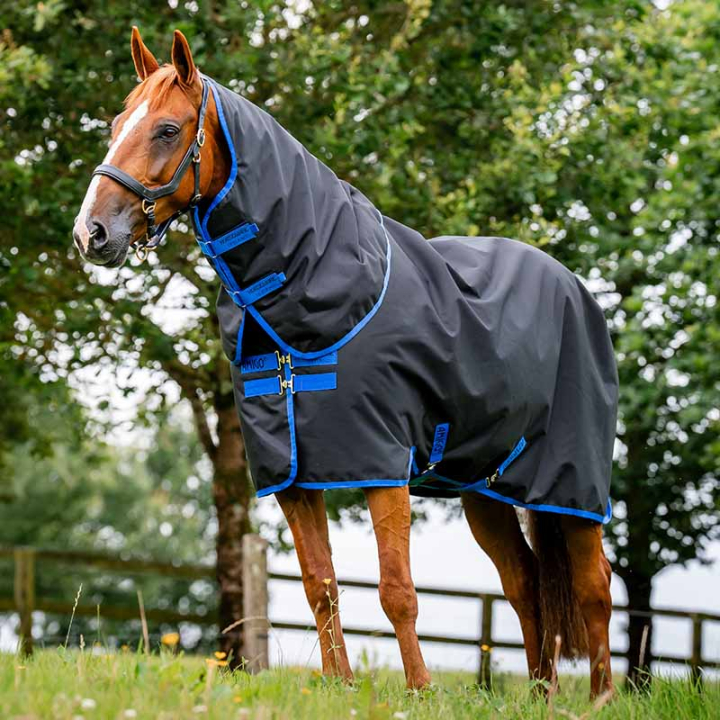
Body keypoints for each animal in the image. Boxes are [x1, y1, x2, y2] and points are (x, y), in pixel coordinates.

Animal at [73, 28, 616, 698]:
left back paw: (600, 698)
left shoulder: (381, 463)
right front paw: (342, 687)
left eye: (168, 130)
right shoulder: (292, 474)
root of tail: (574, 286)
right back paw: (544, 695)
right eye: (117, 122)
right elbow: (320, 585)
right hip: (483, 487)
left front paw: (419, 691)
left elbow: (397, 590)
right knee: (525, 583)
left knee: (594, 587)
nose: (91, 233)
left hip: (572, 482)